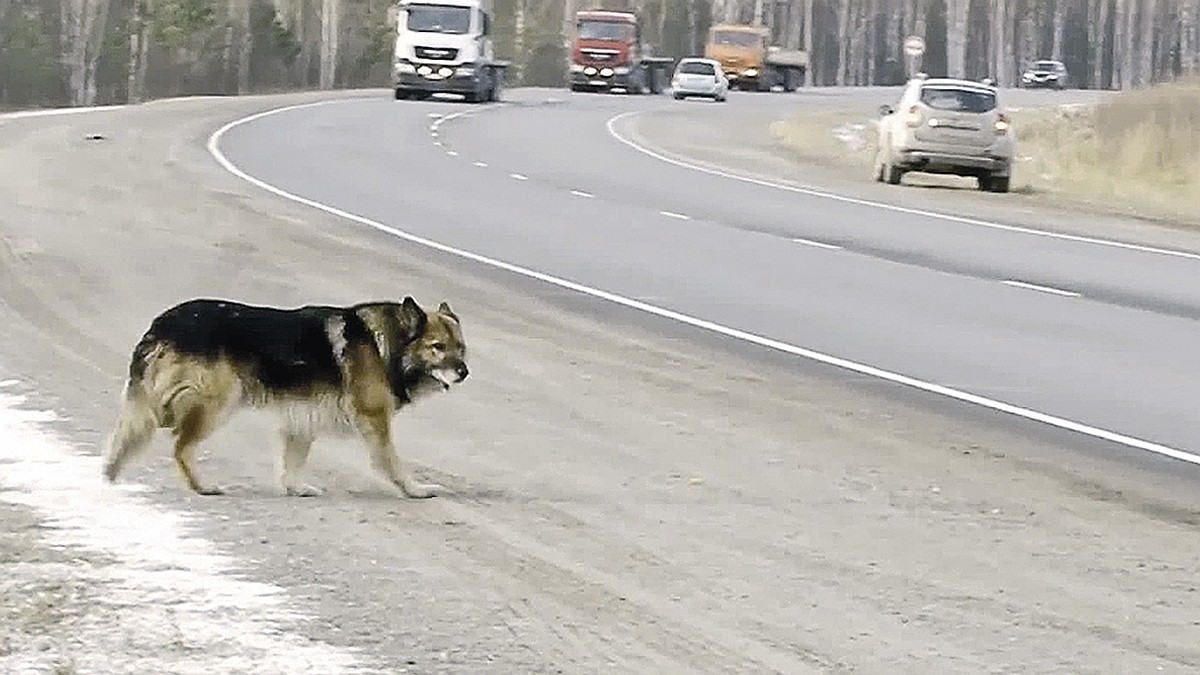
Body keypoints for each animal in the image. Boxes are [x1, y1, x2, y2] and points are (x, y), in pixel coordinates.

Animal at [99, 296, 468, 497]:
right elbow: (392, 461)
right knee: (180, 446)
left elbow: (293, 460)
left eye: (461, 348)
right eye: (438, 348)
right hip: (219, 402)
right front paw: (415, 490)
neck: (387, 345)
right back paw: (202, 486)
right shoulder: (375, 420)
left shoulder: (302, 417)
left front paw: (295, 488)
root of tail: (162, 324)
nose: (464, 372)